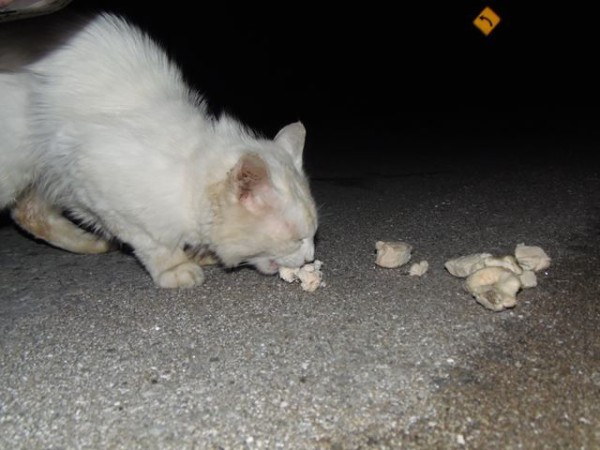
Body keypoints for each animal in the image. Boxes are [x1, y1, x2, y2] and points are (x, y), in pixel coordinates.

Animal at [0, 14, 318, 288]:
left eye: (313, 236)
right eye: (297, 239)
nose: (309, 257)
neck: (188, 171)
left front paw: (201, 253)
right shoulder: (88, 174)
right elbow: (150, 239)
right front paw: (175, 267)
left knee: (28, 211)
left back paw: (91, 243)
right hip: (18, 159)